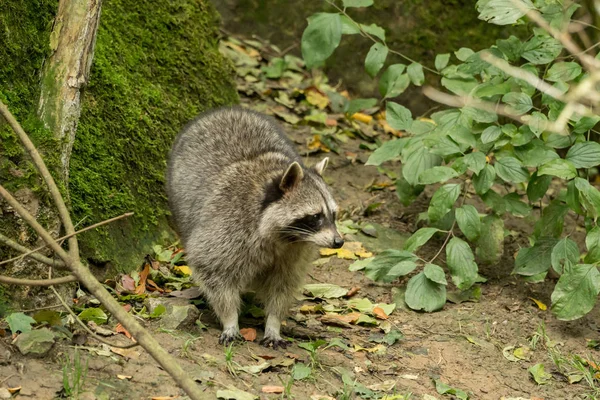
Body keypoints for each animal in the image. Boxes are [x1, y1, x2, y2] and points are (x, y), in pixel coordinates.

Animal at [166, 105, 342, 346]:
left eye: (333, 214)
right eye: (315, 216)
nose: (339, 242)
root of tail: (227, 110)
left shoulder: (295, 252)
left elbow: (283, 285)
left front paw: (274, 322)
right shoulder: (227, 227)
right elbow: (213, 271)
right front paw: (230, 319)